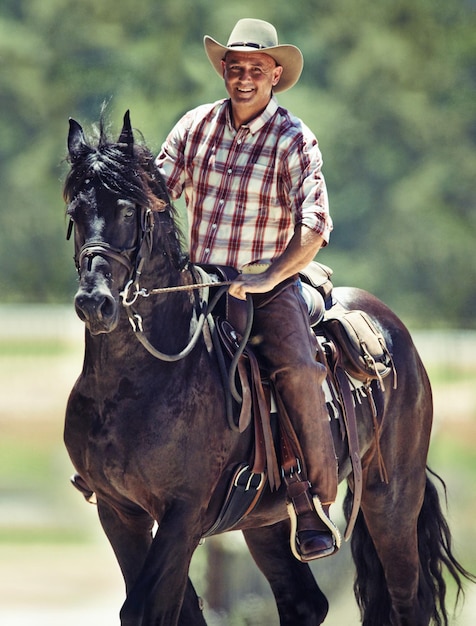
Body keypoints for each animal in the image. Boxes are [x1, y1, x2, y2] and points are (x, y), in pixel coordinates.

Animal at [62, 113, 472, 624]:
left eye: (127, 211)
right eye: (75, 213)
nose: (94, 302)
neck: (136, 387)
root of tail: (393, 331)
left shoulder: (183, 516)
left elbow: (147, 609)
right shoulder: (119, 511)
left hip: (392, 496)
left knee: (405, 600)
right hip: (264, 517)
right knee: (304, 602)